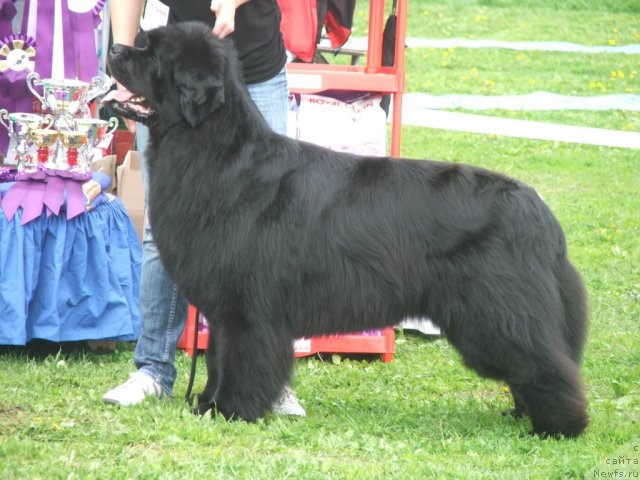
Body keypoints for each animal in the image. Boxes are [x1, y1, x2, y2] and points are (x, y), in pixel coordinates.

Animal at [106, 21, 592, 436]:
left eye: (150, 51)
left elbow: (240, 360)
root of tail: (538, 209)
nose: (114, 50)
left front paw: (231, 411)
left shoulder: (247, 306)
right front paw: (207, 405)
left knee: (545, 364)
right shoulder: (225, 308)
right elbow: (218, 359)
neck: (217, 154)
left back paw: (559, 427)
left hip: (495, 313)